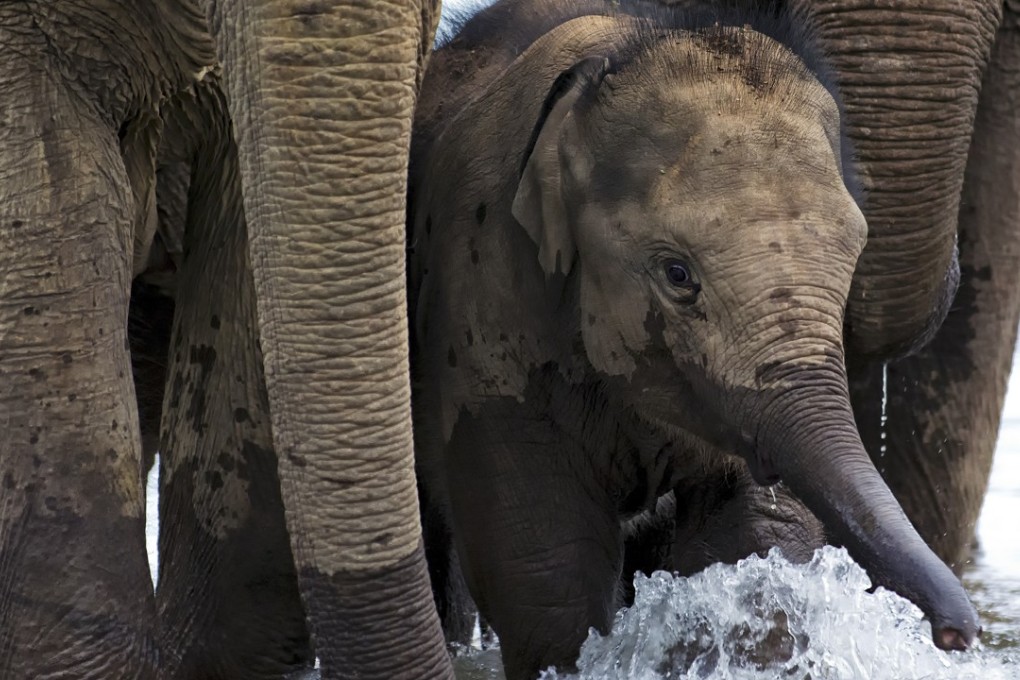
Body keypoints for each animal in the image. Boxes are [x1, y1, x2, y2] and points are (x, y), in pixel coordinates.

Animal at [407, 1, 981, 677]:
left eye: (850, 266)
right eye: (677, 275)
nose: (958, 634)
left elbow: (755, 539)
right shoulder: (487, 299)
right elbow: (546, 571)